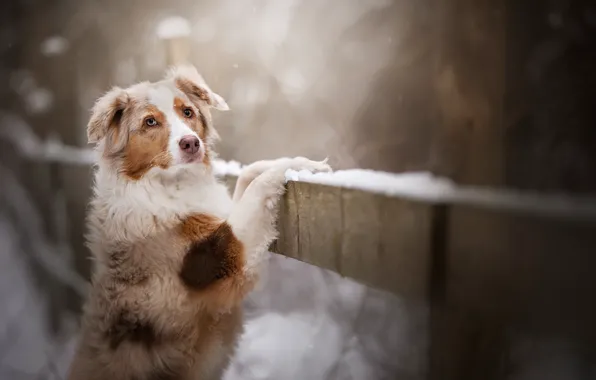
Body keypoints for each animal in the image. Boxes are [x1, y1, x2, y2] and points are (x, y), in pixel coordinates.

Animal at [68, 66, 336, 380]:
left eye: (188, 112)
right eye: (149, 121)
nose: (191, 143)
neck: (168, 184)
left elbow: (249, 177)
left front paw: (297, 161)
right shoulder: (225, 261)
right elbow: (256, 192)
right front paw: (297, 166)